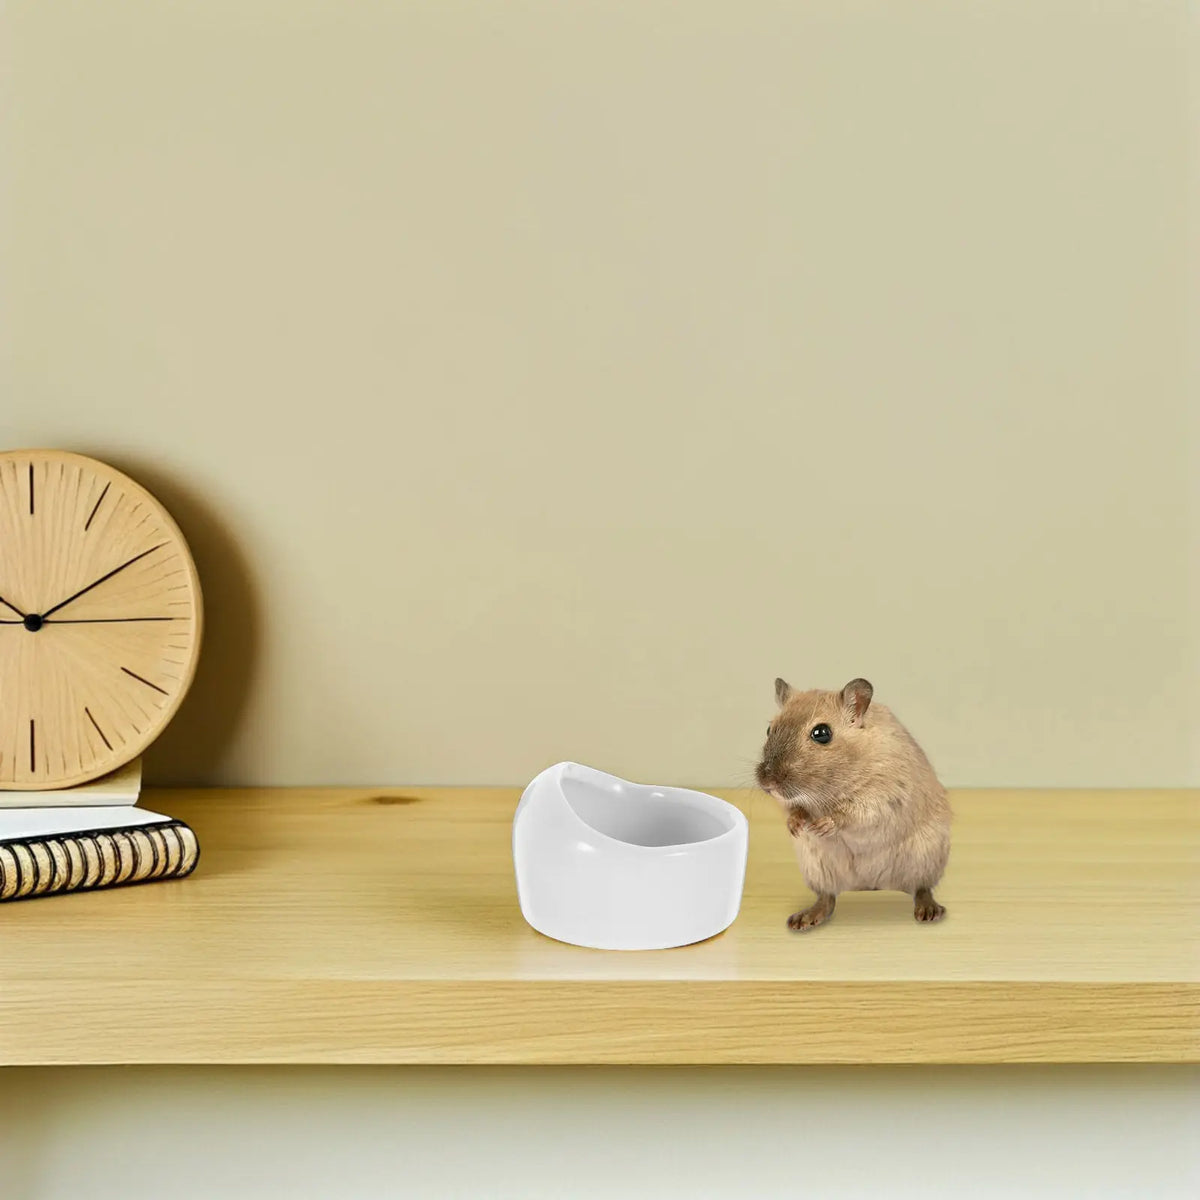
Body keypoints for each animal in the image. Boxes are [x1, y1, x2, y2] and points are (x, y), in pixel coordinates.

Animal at [755, 677, 951, 931]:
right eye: (769, 730)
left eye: (821, 733)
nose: (767, 782)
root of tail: (871, 885)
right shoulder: (791, 802)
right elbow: (794, 809)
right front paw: (796, 826)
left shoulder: (883, 796)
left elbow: (850, 815)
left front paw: (821, 826)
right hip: (818, 869)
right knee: (827, 898)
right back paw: (803, 919)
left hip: (926, 859)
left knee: (921, 888)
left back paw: (929, 911)